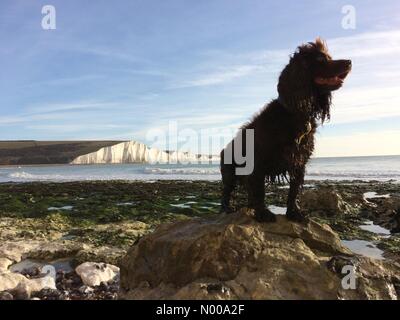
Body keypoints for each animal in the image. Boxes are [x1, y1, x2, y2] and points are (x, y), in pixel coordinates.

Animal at [220, 37, 352, 222]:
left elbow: (294, 190)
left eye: (329, 57)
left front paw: (294, 213)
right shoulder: (257, 163)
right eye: (320, 59)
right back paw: (226, 208)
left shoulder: (299, 162)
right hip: (229, 173)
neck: (296, 113)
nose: (349, 62)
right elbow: (259, 191)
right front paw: (263, 213)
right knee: (226, 191)